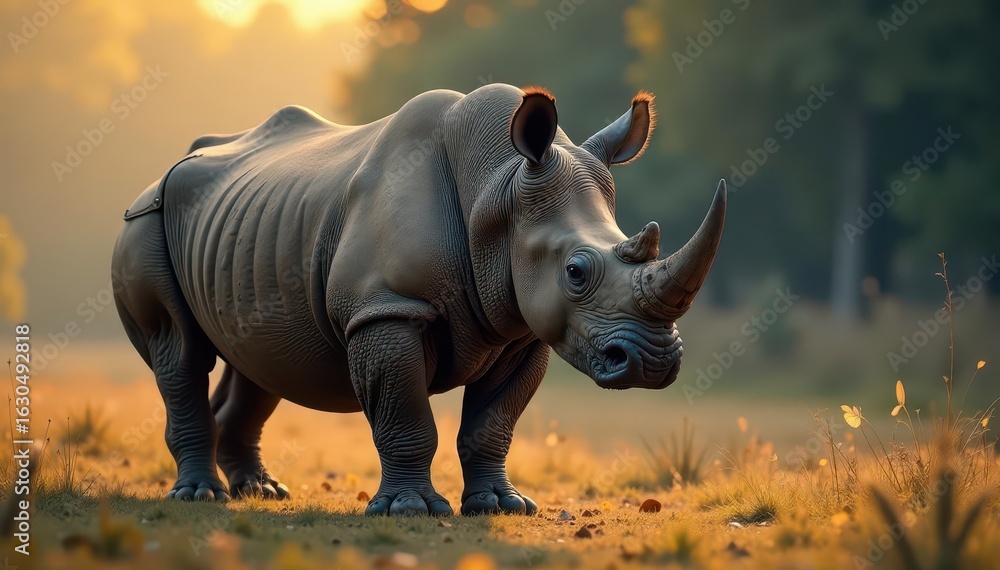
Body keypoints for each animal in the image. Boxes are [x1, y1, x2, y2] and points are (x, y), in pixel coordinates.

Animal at [112, 84, 726, 516]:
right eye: (575, 272)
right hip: (144, 221)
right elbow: (404, 410)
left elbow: (494, 421)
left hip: (253, 231)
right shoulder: (387, 308)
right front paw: (410, 510)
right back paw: (200, 497)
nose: (652, 364)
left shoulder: (524, 326)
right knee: (180, 351)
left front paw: (502, 507)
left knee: (260, 362)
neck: (496, 189)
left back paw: (261, 493)